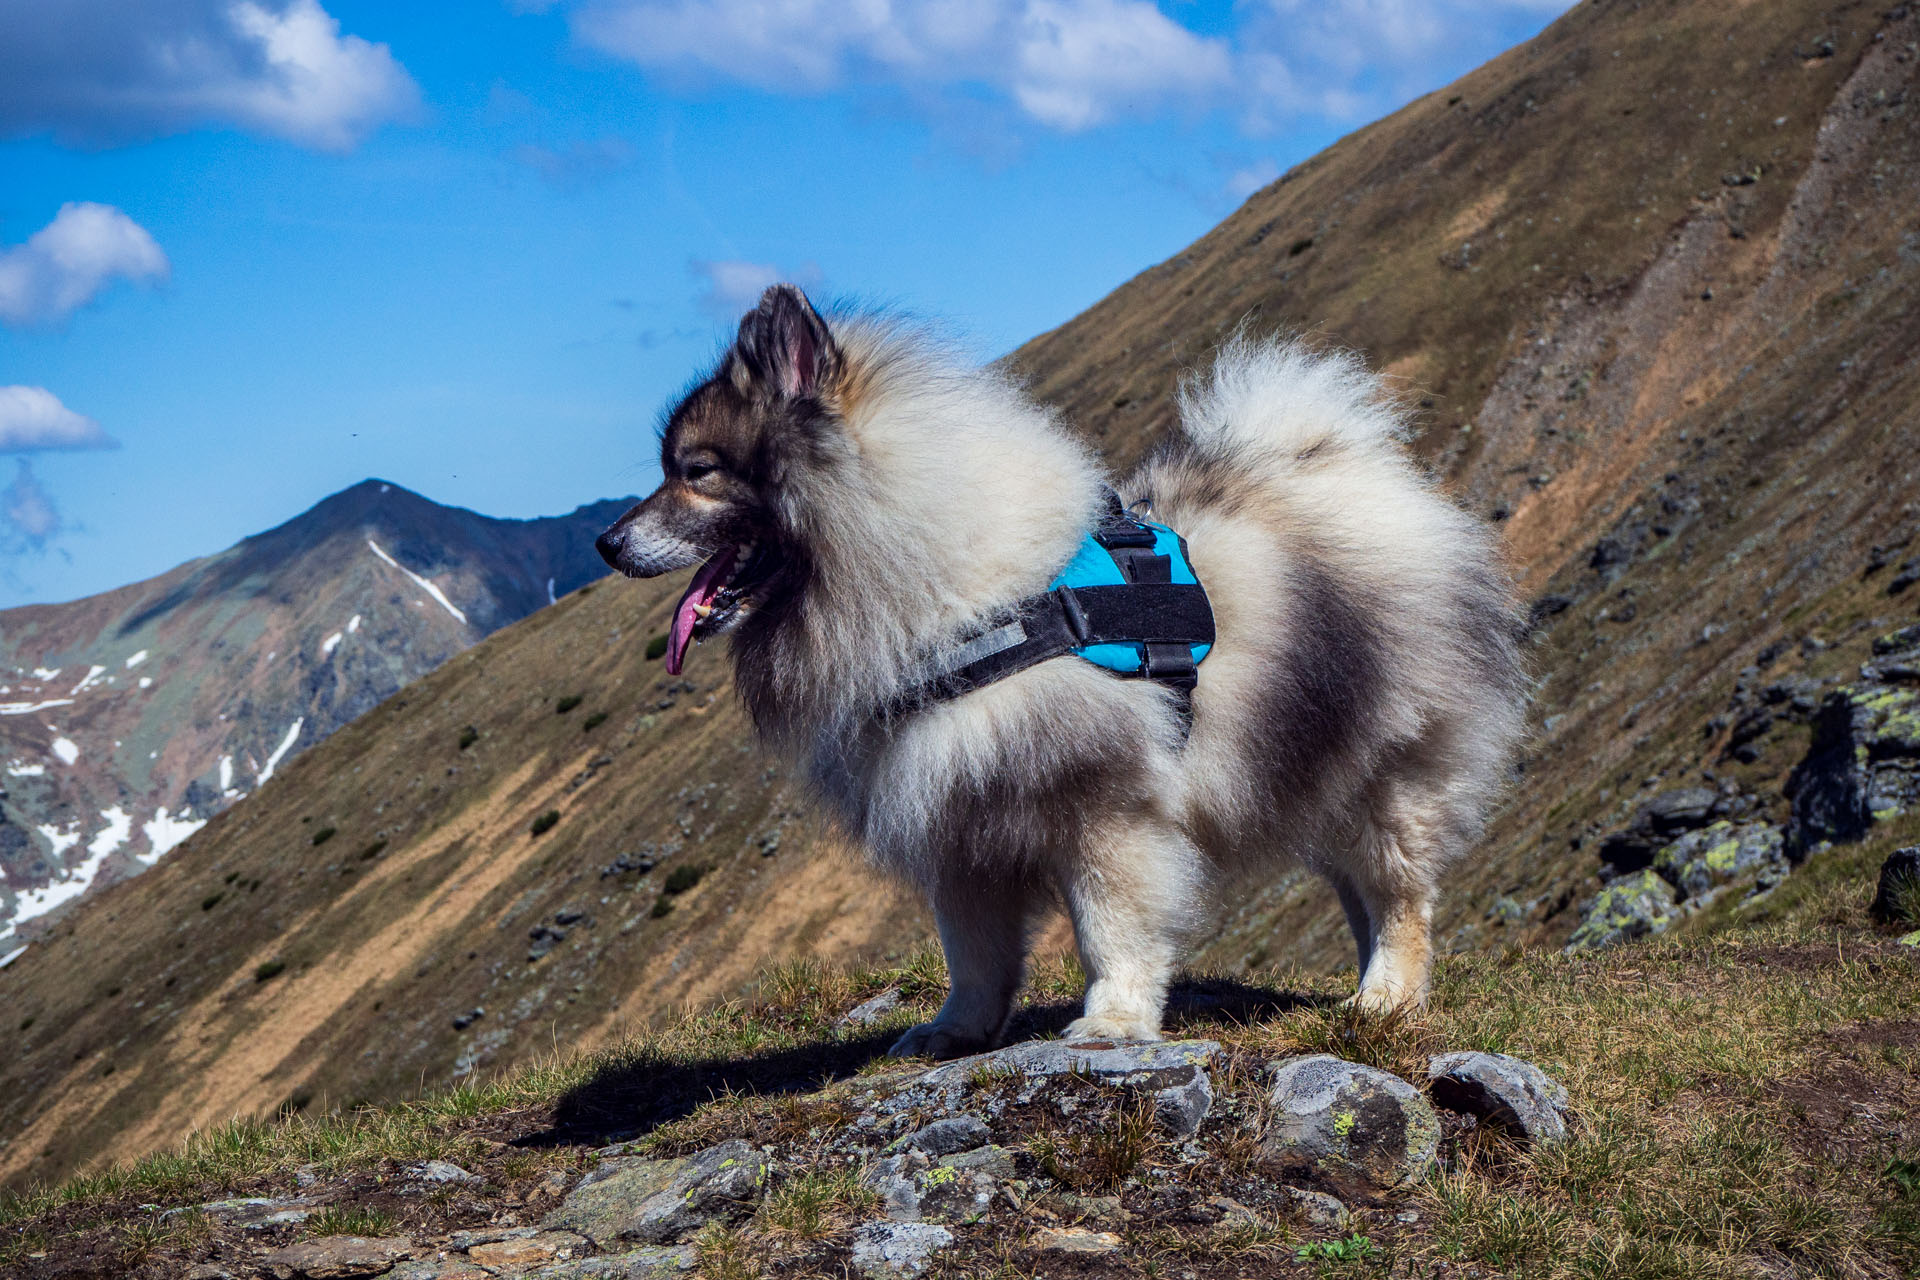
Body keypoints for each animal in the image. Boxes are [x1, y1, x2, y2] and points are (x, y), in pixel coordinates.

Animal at [591, 285, 1520, 1059]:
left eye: (696, 472)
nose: (605, 543)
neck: (959, 598)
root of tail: (1355, 472)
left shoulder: (1107, 810)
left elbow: (1112, 928)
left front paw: (1113, 1022)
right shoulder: (958, 822)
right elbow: (972, 953)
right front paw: (956, 1031)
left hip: (1386, 778)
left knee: (1400, 896)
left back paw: (1387, 997)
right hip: (1315, 770)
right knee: (1362, 894)